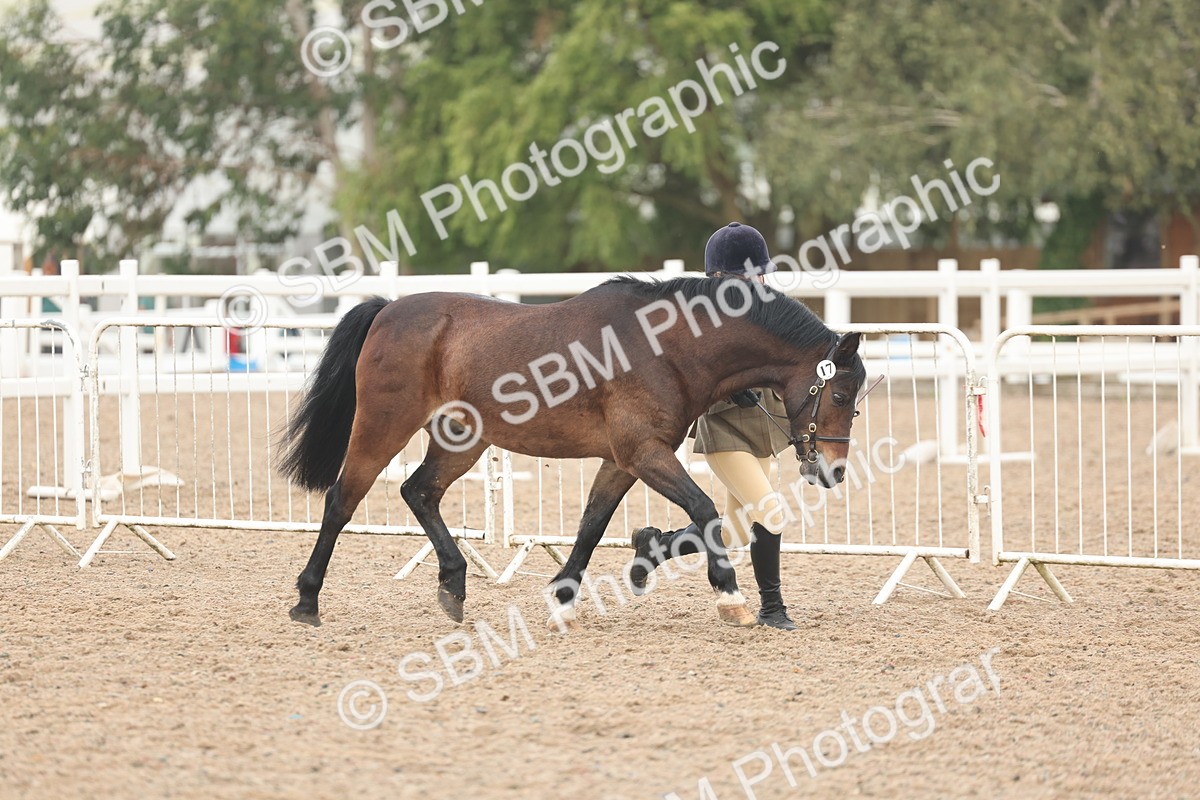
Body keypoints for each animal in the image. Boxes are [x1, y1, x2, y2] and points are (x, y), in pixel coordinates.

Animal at [277, 275, 867, 630]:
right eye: (839, 395)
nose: (832, 472)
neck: (667, 348)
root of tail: (388, 309)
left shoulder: (622, 460)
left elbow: (591, 524)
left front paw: (564, 598)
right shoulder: (646, 453)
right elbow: (705, 511)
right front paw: (730, 596)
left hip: (461, 440)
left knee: (418, 491)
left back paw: (454, 584)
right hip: (383, 426)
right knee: (343, 500)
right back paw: (307, 601)